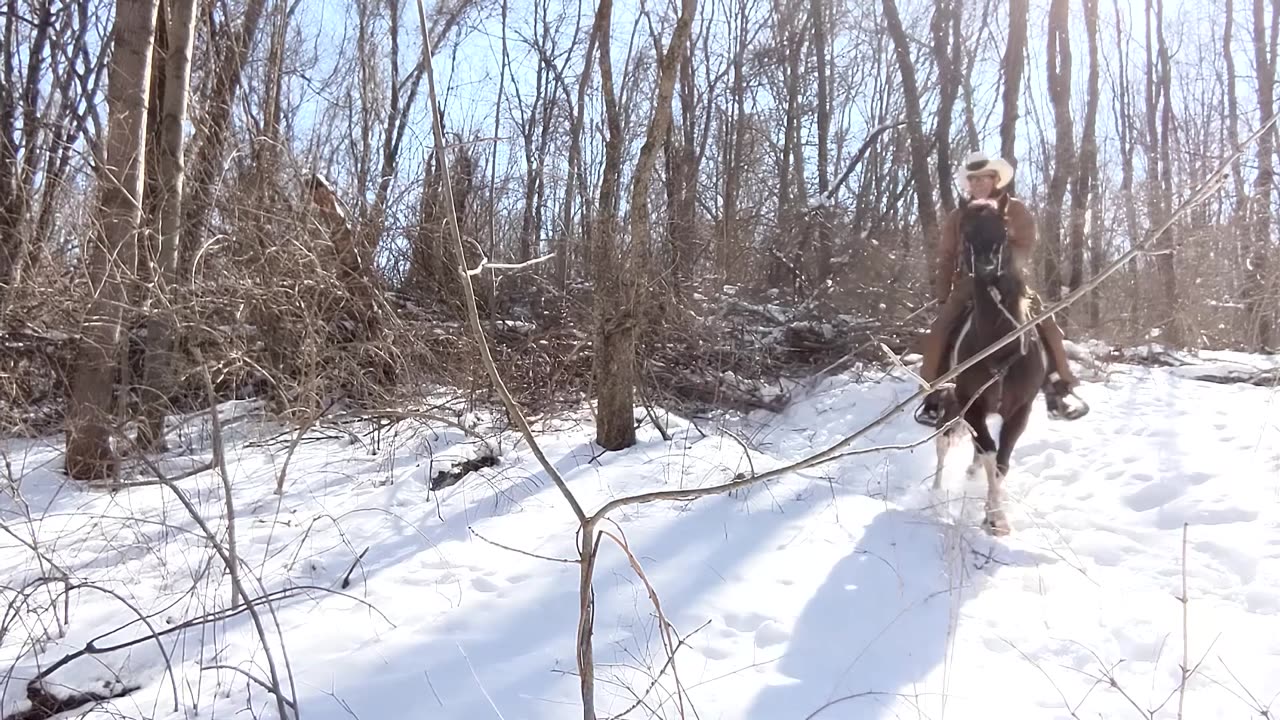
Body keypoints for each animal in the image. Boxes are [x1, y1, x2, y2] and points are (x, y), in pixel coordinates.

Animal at [932, 195, 1048, 536]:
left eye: (1003, 229)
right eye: (966, 230)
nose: (985, 263)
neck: (998, 345)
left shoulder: (1020, 410)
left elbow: (1001, 462)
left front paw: (994, 517)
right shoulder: (971, 407)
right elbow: (989, 453)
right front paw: (995, 517)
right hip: (949, 406)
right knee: (944, 445)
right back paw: (935, 491)